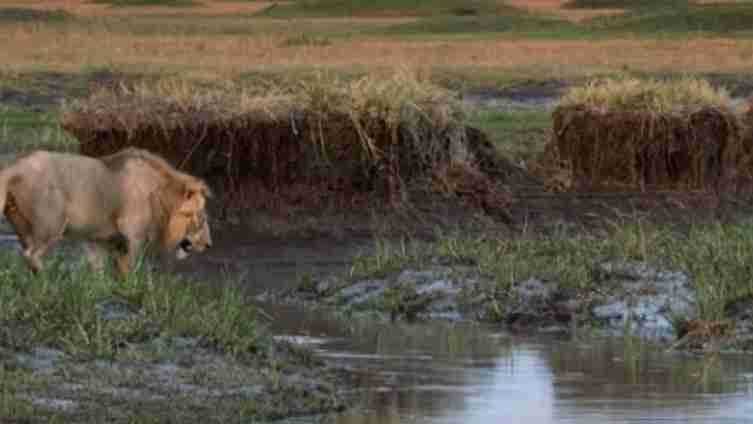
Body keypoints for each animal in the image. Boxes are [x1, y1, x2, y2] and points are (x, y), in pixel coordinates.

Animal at [0, 147, 212, 280]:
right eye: (201, 216)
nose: (209, 245)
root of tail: (13, 167)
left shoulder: (98, 239)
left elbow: (98, 270)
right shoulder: (133, 234)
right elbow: (129, 268)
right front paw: (128, 286)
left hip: (23, 227)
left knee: (27, 252)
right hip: (52, 224)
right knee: (31, 254)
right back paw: (48, 281)